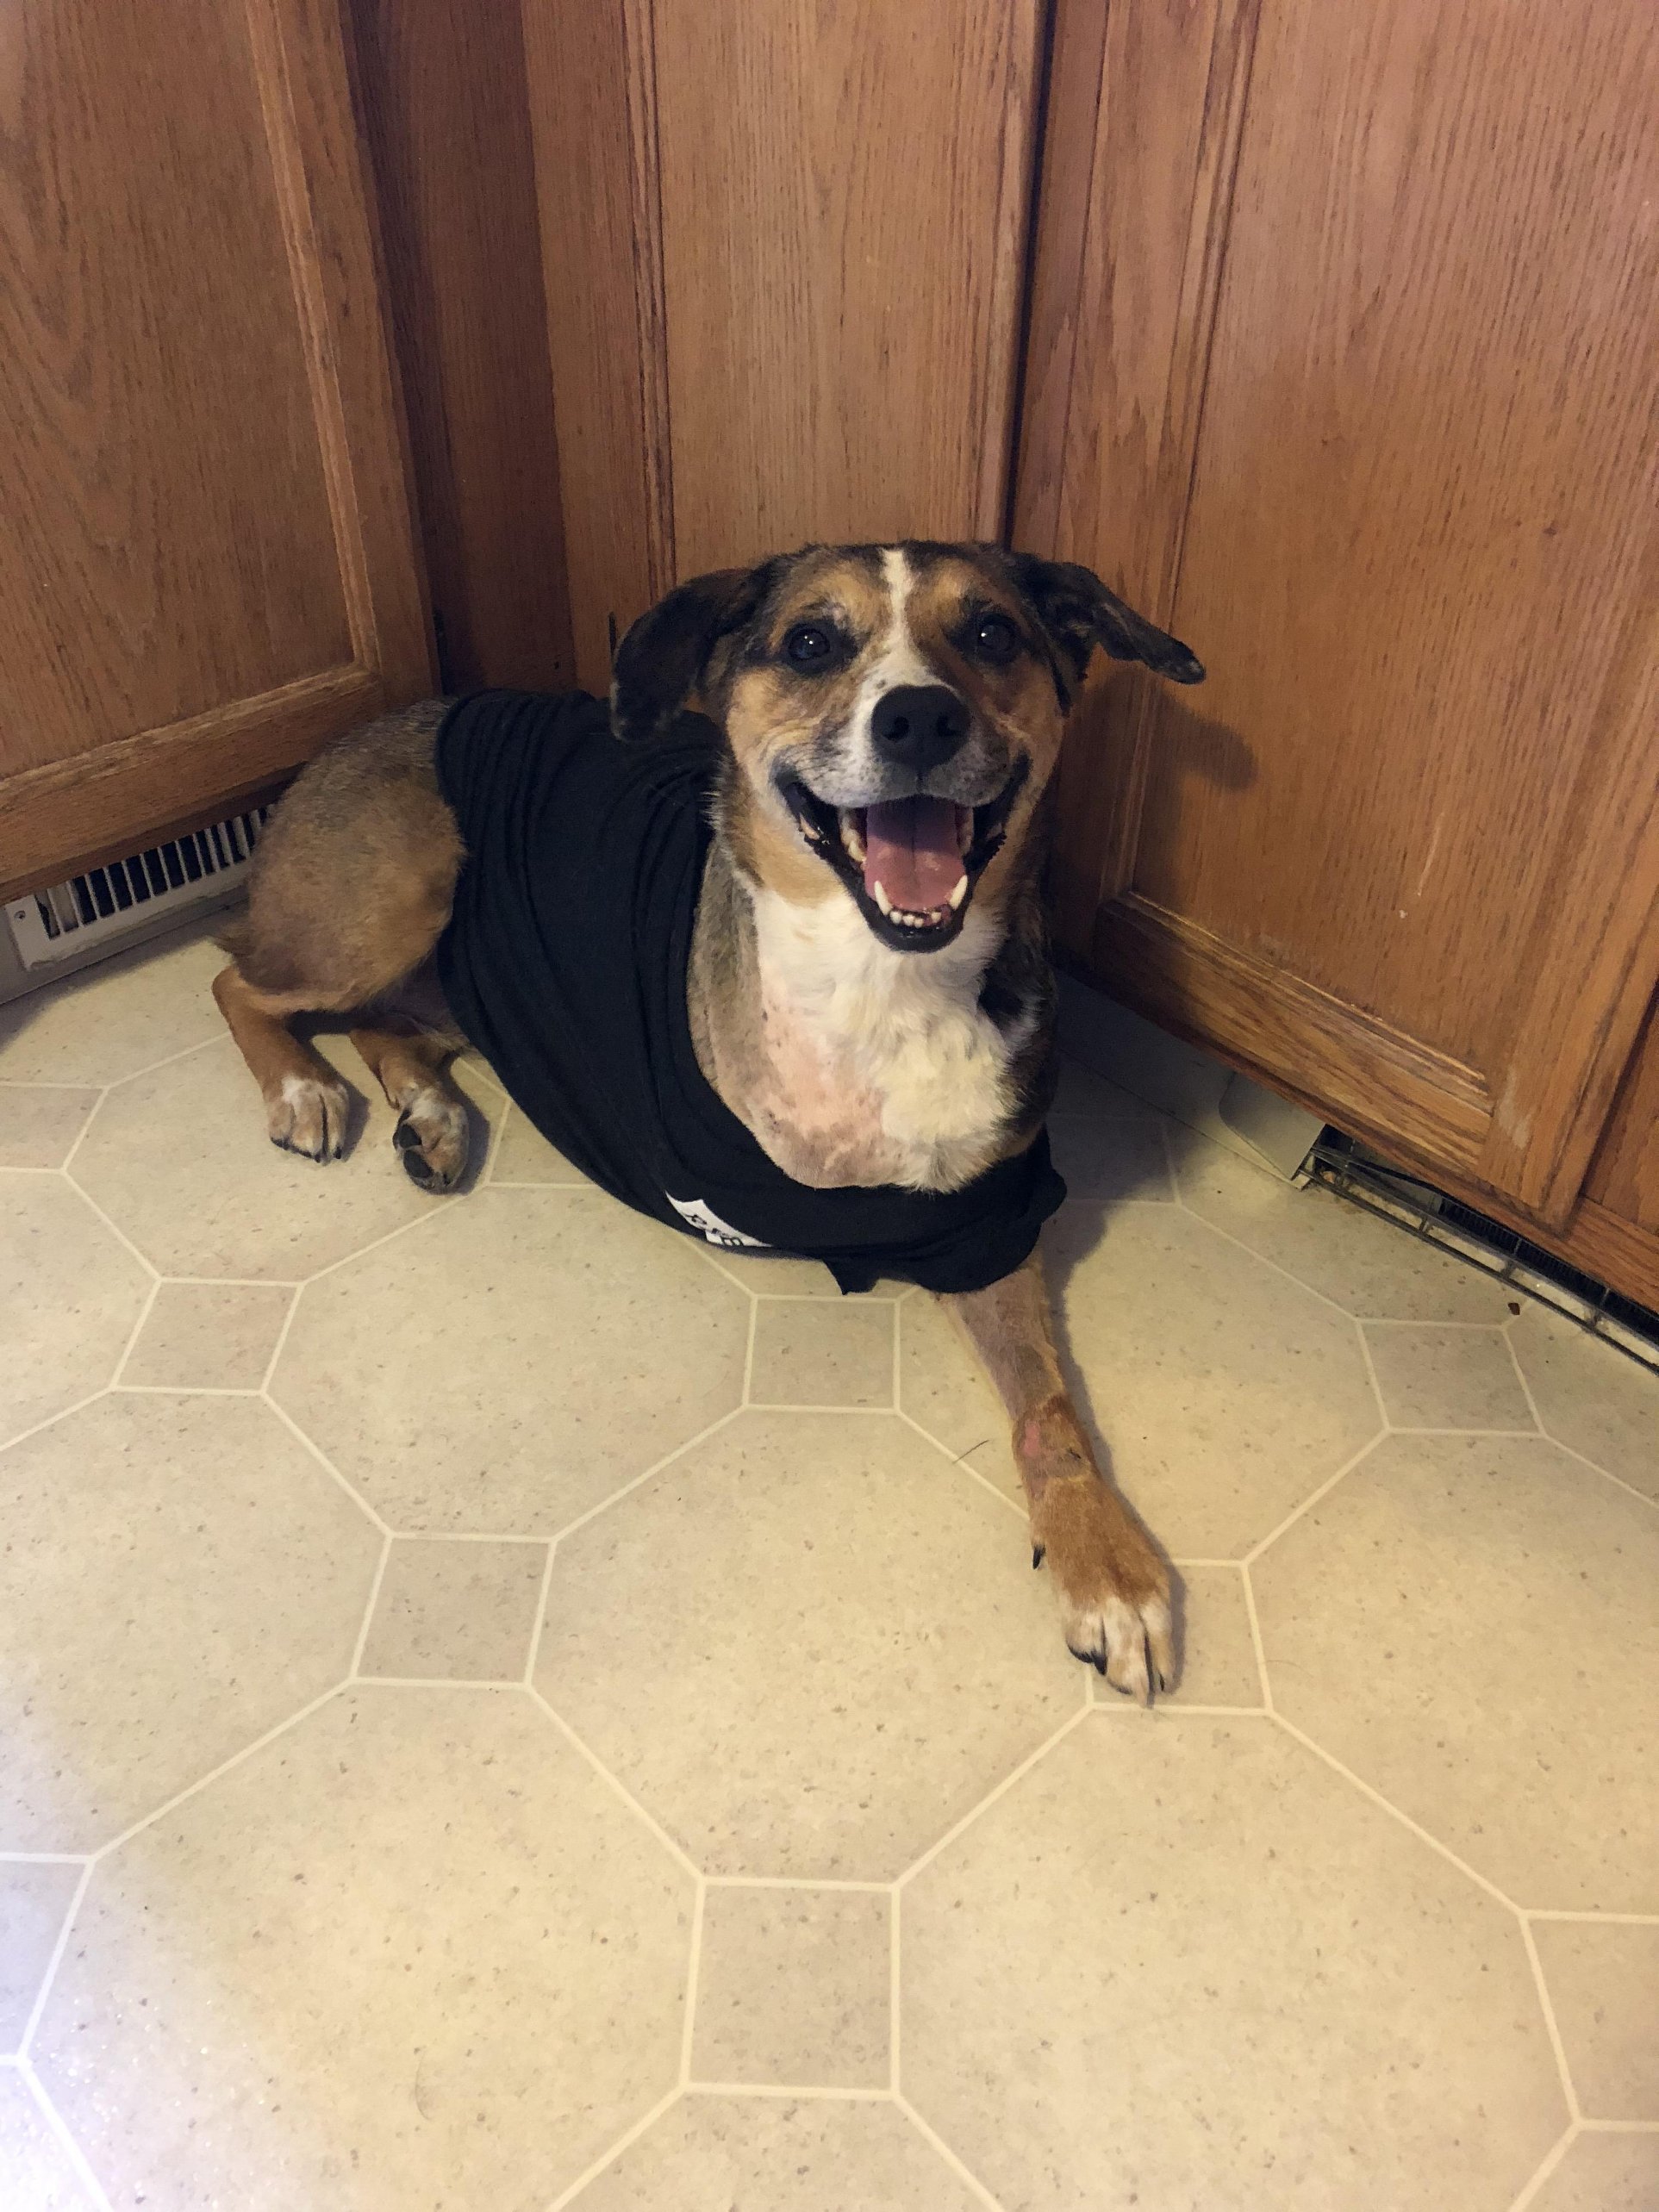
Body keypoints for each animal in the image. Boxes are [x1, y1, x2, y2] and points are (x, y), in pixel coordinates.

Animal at [213, 542, 1204, 1698]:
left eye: (992, 632)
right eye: (810, 641)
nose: (919, 718)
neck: (878, 977)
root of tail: (356, 733)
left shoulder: (987, 1221)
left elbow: (1050, 1415)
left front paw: (1107, 1564)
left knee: (380, 1017)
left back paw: (432, 1114)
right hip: (395, 896)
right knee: (241, 981)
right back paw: (301, 1088)